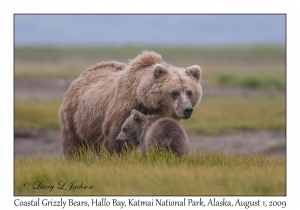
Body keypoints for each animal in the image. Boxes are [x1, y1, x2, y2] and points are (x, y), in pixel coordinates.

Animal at [58, 50, 203, 156]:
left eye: (189, 92)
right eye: (174, 92)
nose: (187, 109)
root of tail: (81, 75)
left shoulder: (164, 117)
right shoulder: (126, 105)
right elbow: (115, 136)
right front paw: (113, 156)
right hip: (74, 115)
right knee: (73, 143)